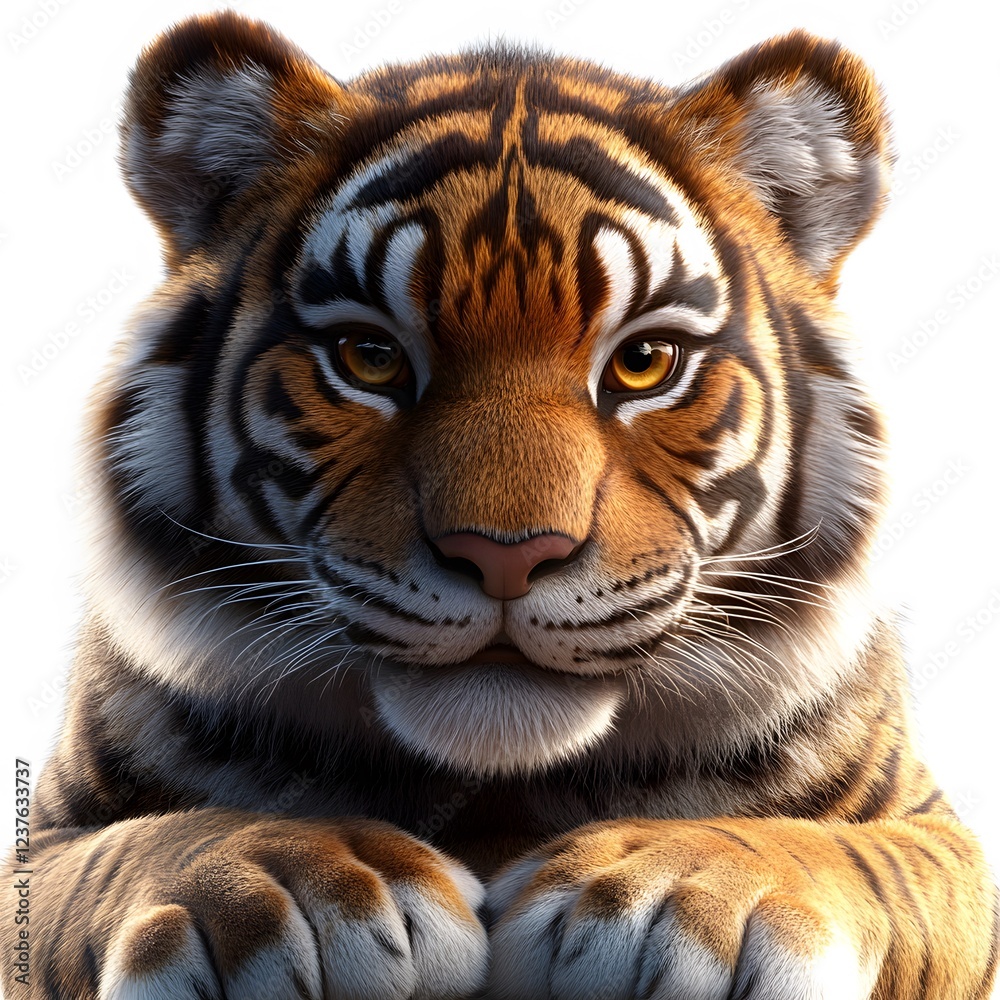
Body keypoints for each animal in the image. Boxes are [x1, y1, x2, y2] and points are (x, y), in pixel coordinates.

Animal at [7, 10, 997, 1000]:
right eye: (370, 358)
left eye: (645, 363)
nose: (506, 555)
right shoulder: (45, 834)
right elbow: (140, 845)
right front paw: (294, 883)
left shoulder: (934, 829)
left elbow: (833, 852)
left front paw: (662, 893)